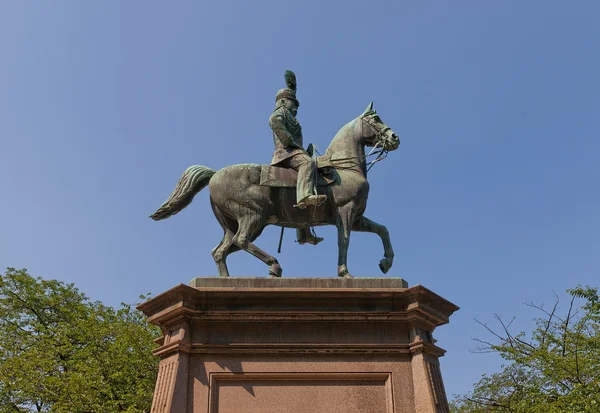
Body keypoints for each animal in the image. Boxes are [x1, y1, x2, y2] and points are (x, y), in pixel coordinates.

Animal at [150, 101, 400, 278]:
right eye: (376, 119)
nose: (394, 137)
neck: (343, 167)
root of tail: (215, 175)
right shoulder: (345, 212)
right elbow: (345, 240)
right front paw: (345, 273)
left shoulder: (357, 217)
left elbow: (383, 230)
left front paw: (385, 263)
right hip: (253, 216)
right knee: (241, 240)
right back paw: (274, 266)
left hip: (234, 224)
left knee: (221, 251)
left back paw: (226, 281)